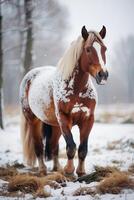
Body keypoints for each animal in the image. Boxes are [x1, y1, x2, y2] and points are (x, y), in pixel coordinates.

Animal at [19, 25, 108, 177]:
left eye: (104, 48)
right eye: (88, 49)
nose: (103, 75)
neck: (77, 89)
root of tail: (30, 76)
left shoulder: (88, 119)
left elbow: (83, 149)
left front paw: (81, 171)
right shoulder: (64, 118)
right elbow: (71, 147)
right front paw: (69, 171)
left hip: (55, 126)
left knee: (53, 145)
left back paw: (56, 168)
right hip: (33, 121)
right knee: (38, 146)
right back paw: (42, 170)